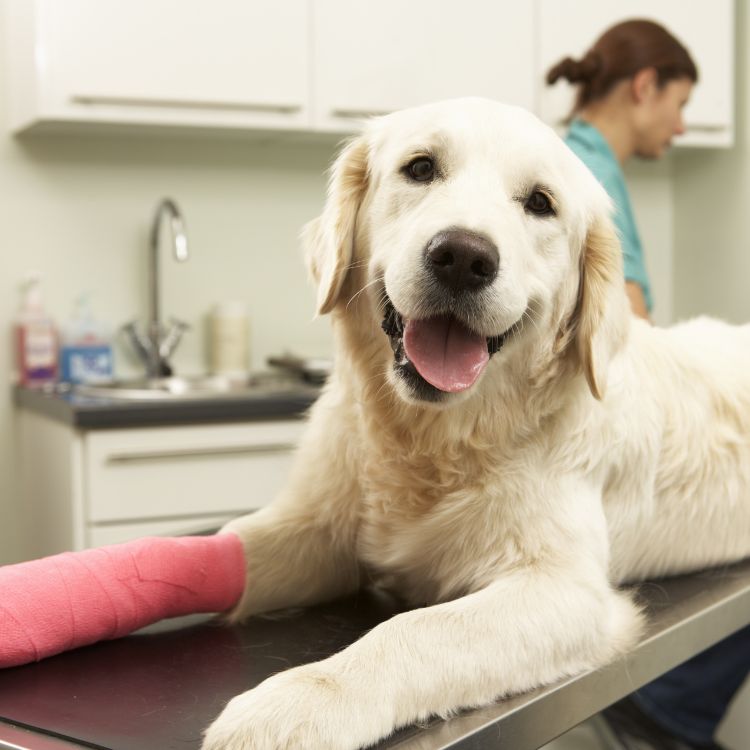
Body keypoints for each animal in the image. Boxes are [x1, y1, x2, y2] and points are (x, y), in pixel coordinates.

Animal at [203, 97, 750, 748]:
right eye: (420, 167)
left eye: (540, 202)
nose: (463, 256)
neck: (435, 439)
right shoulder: (317, 528)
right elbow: (230, 546)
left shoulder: (565, 590)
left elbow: (415, 630)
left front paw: (295, 704)